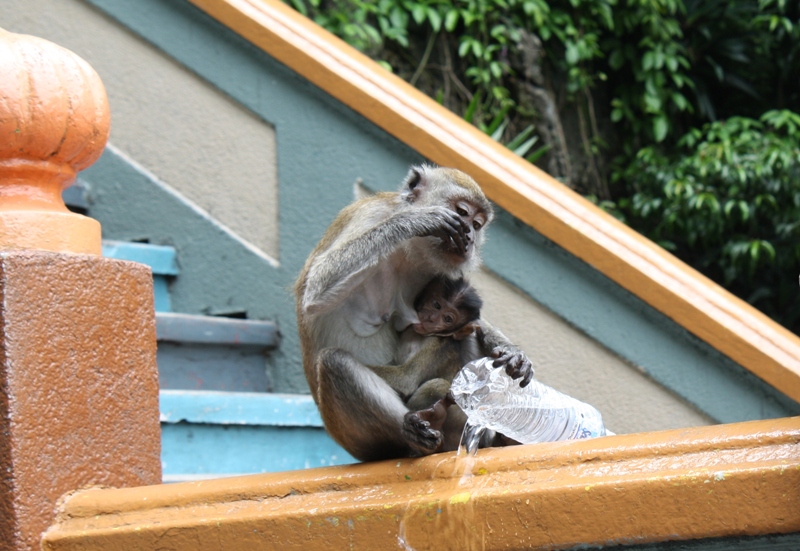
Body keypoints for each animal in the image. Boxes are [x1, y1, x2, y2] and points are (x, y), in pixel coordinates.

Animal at [294, 164, 532, 462]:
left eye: (478, 225)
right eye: (462, 212)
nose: (469, 235)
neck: (408, 249)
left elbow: (471, 323)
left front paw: (513, 354)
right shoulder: (368, 215)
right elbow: (316, 292)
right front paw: (415, 221)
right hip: (366, 441)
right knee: (334, 362)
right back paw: (415, 433)